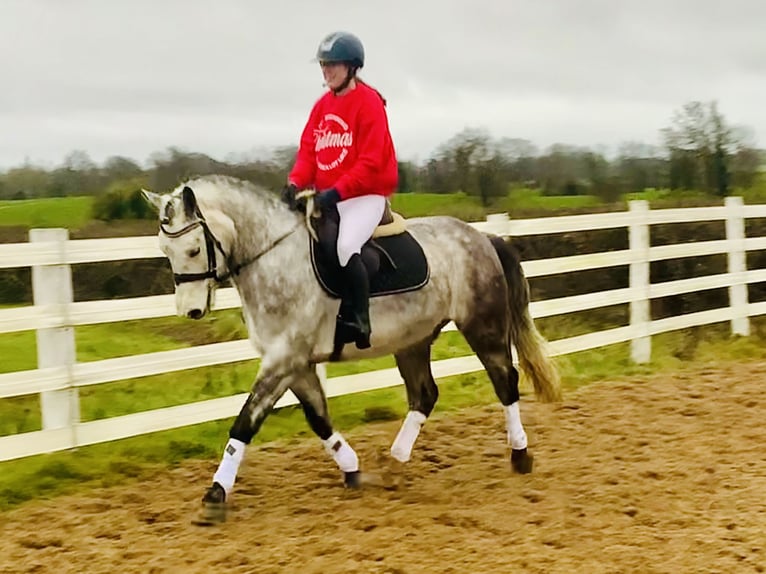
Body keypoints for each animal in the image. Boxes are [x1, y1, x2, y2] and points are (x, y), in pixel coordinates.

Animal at [144, 173, 560, 524]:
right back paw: (394, 463)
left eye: (193, 249)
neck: (275, 260)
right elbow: (318, 418)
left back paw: (520, 455)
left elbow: (246, 422)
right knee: (424, 395)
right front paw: (353, 469)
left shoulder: (283, 360)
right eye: (165, 248)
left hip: (482, 326)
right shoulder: (295, 363)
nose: (191, 311)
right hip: (412, 340)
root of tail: (482, 237)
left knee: (505, 382)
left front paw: (215, 495)